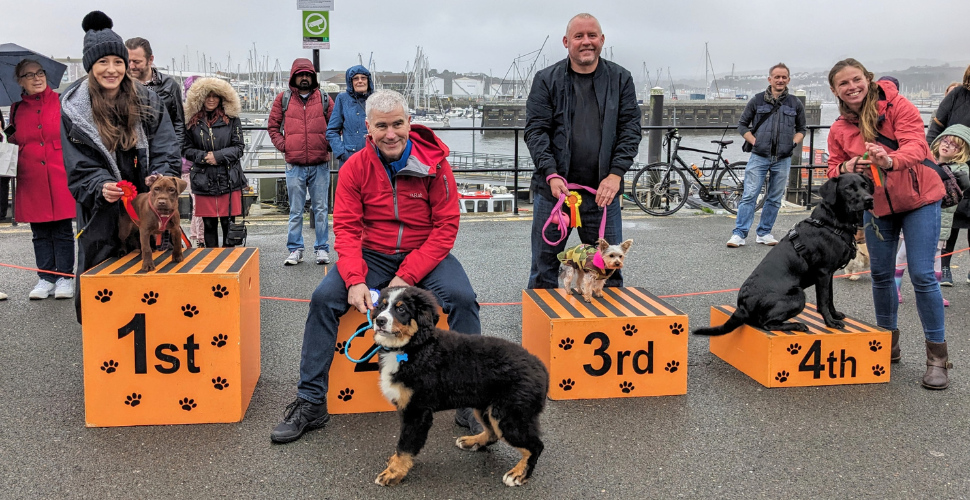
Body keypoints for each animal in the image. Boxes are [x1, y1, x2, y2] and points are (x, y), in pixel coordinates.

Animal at [370, 288, 548, 486]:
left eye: (401, 309)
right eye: (382, 306)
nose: (380, 321)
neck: (415, 347)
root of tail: (540, 367)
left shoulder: (417, 411)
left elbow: (405, 445)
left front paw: (393, 473)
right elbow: (403, 444)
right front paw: (394, 463)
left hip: (508, 415)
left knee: (535, 446)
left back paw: (518, 474)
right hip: (487, 407)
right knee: (494, 433)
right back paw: (473, 441)